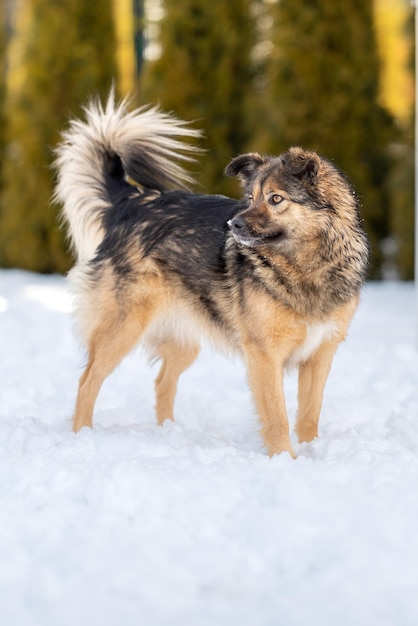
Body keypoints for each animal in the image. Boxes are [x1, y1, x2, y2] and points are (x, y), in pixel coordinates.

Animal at [53, 91, 370, 454]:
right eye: (251, 198)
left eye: (276, 199)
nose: (233, 224)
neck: (304, 266)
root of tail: (132, 202)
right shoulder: (263, 353)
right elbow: (277, 416)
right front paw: (284, 458)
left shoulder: (320, 354)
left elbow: (309, 415)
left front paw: (310, 453)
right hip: (123, 325)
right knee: (88, 380)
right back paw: (82, 435)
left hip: (183, 337)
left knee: (162, 382)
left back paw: (169, 433)